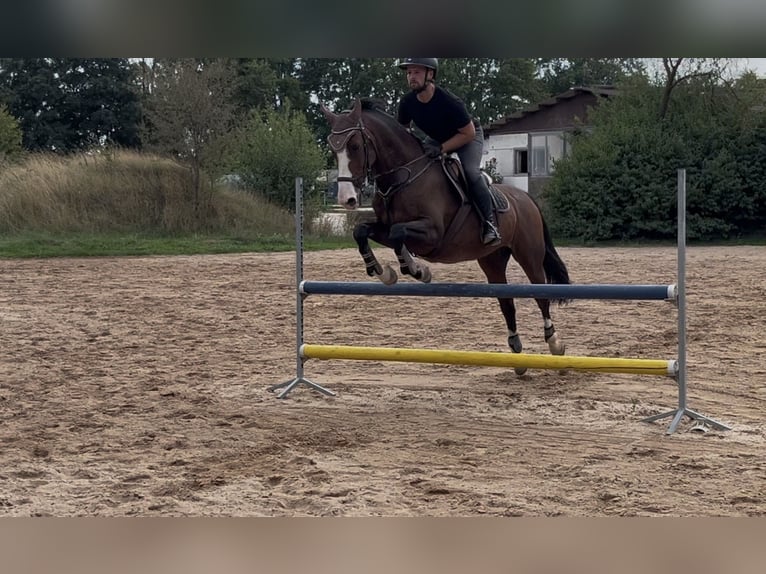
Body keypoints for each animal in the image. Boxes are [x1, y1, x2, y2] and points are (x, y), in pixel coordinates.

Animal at [320, 97, 571, 372]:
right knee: (506, 301)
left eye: (355, 146)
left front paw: (416, 270)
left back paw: (555, 344)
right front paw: (384, 272)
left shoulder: (432, 234)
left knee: (541, 295)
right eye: (332, 150)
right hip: (492, 260)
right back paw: (516, 351)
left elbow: (398, 234)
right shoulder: (385, 228)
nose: (346, 199)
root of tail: (526, 199)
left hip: (529, 255)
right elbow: (362, 231)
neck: (403, 176)